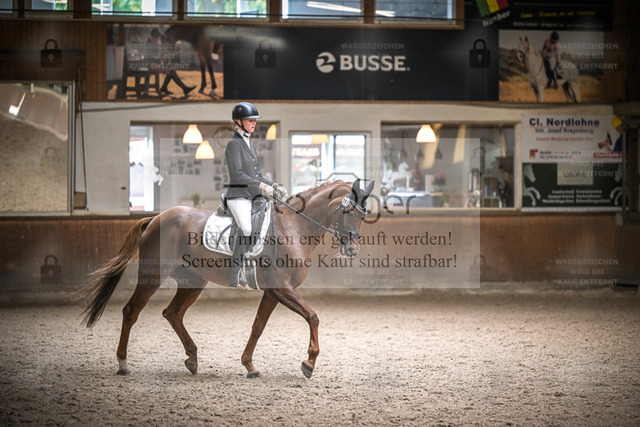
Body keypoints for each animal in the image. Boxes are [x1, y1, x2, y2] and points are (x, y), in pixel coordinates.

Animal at [80, 179, 375, 379]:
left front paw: (249, 365)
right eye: (348, 212)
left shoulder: (273, 292)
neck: (293, 228)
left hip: (193, 281)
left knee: (173, 313)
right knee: (132, 310)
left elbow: (258, 326)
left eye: (363, 215)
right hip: (153, 276)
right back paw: (123, 363)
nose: (352, 249)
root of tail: (156, 218)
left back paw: (192, 359)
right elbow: (312, 316)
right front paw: (309, 363)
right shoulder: (282, 288)